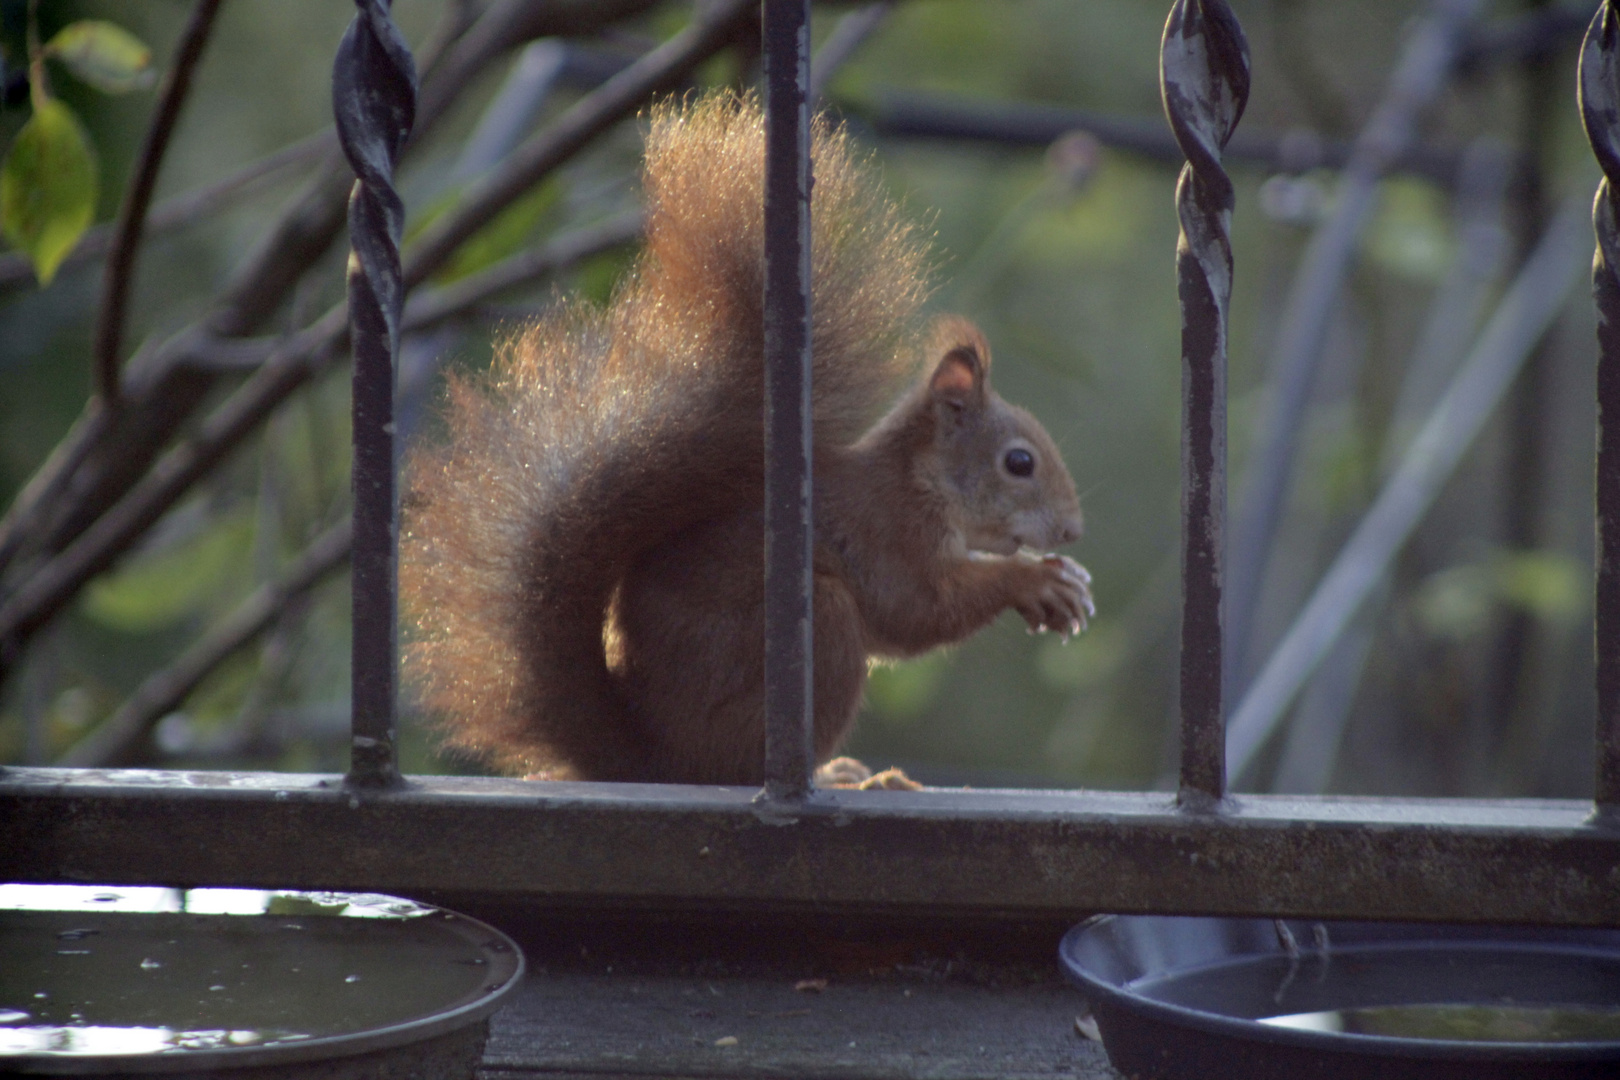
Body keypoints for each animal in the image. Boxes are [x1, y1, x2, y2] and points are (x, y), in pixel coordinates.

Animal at [398, 90, 1095, 786]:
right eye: (1019, 462)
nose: (1071, 531)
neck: (919, 481)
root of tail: (654, 758)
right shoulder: (886, 536)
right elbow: (920, 610)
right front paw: (1034, 582)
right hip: (816, 636)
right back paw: (837, 775)